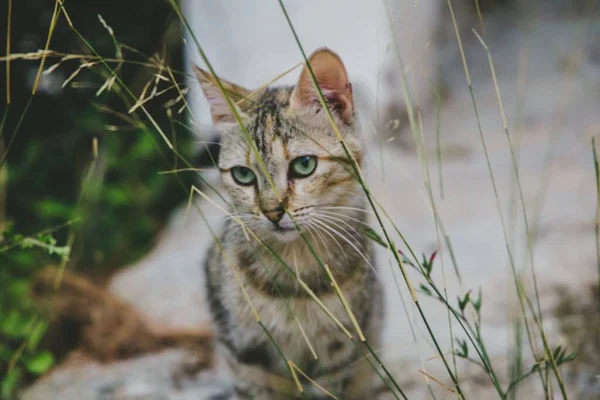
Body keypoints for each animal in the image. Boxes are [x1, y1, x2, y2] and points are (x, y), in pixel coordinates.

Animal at [197, 48, 384, 398]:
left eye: (304, 165)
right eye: (243, 175)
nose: (272, 211)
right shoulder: (245, 352)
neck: (295, 268)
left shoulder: (339, 349)